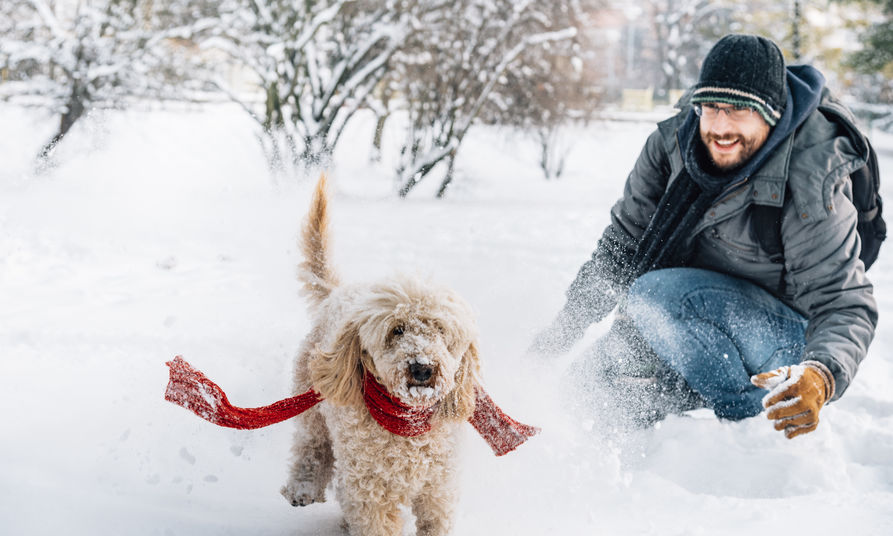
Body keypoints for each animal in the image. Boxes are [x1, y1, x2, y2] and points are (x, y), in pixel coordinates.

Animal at [280, 174, 480, 532]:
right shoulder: (370, 491)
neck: (407, 424)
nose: (422, 368)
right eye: (397, 330)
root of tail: (339, 293)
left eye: (440, 330)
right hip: (312, 404)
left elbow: (435, 520)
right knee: (311, 447)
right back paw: (303, 488)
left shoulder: (438, 489)